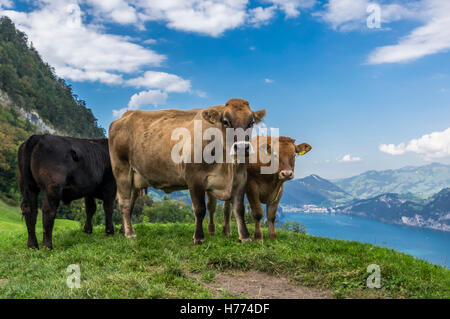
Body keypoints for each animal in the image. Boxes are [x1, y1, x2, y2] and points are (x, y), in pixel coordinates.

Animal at [107, 99, 266, 244]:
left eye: (251, 123)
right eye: (226, 122)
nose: (242, 147)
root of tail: (125, 116)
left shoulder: (240, 178)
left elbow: (238, 209)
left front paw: (245, 236)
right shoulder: (195, 178)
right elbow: (200, 209)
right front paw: (199, 237)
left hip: (135, 177)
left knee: (131, 201)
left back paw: (123, 230)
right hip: (121, 169)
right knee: (124, 202)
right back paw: (130, 233)